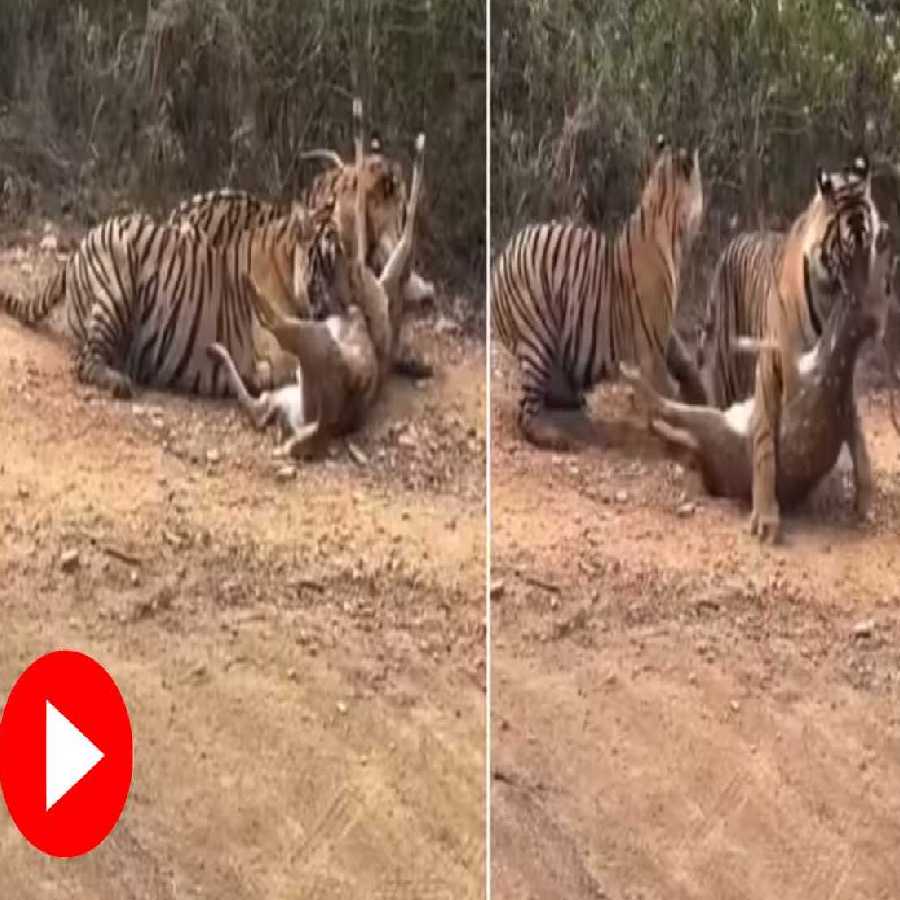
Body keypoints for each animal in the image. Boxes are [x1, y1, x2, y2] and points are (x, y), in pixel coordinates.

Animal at [0, 202, 345, 399]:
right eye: (331, 260)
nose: (348, 304)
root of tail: (80, 245)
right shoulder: (280, 350)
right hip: (115, 284)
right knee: (86, 362)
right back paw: (119, 383)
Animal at [490, 135, 704, 450]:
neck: (661, 206)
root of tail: (503, 257)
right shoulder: (652, 343)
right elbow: (664, 392)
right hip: (538, 334)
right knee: (526, 414)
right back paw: (556, 437)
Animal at [695, 155, 880, 541]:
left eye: (869, 244)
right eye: (846, 250)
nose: (863, 301)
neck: (829, 298)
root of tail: (733, 241)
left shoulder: (837, 367)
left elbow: (855, 430)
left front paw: (864, 501)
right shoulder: (773, 364)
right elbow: (765, 439)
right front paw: (766, 517)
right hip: (729, 368)